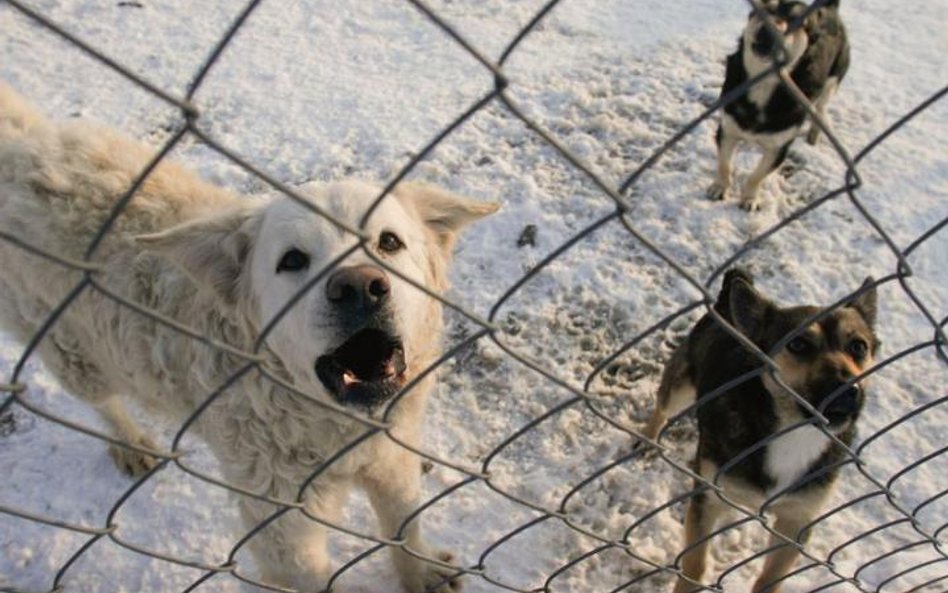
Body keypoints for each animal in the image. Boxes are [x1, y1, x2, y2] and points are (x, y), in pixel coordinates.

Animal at [0, 84, 500, 592]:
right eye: (292, 260)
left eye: (389, 242)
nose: (360, 286)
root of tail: (23, 145)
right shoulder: (283, 527)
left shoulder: (392, 459)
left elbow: (404, 525)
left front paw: (422, 570)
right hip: (69, 349)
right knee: (102, 402)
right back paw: (132, 443)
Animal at [708, 0, 848, 210]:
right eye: (766, 9)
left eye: (800, 22)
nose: (768, 30)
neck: (764, 84)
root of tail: (831, 9)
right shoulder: (728, 129)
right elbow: (724, 164)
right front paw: (720, 187)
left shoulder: (779, 148)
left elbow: (757, 175)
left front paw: (750, 198)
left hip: (832, 81)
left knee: (821, 108)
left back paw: (814, 133)